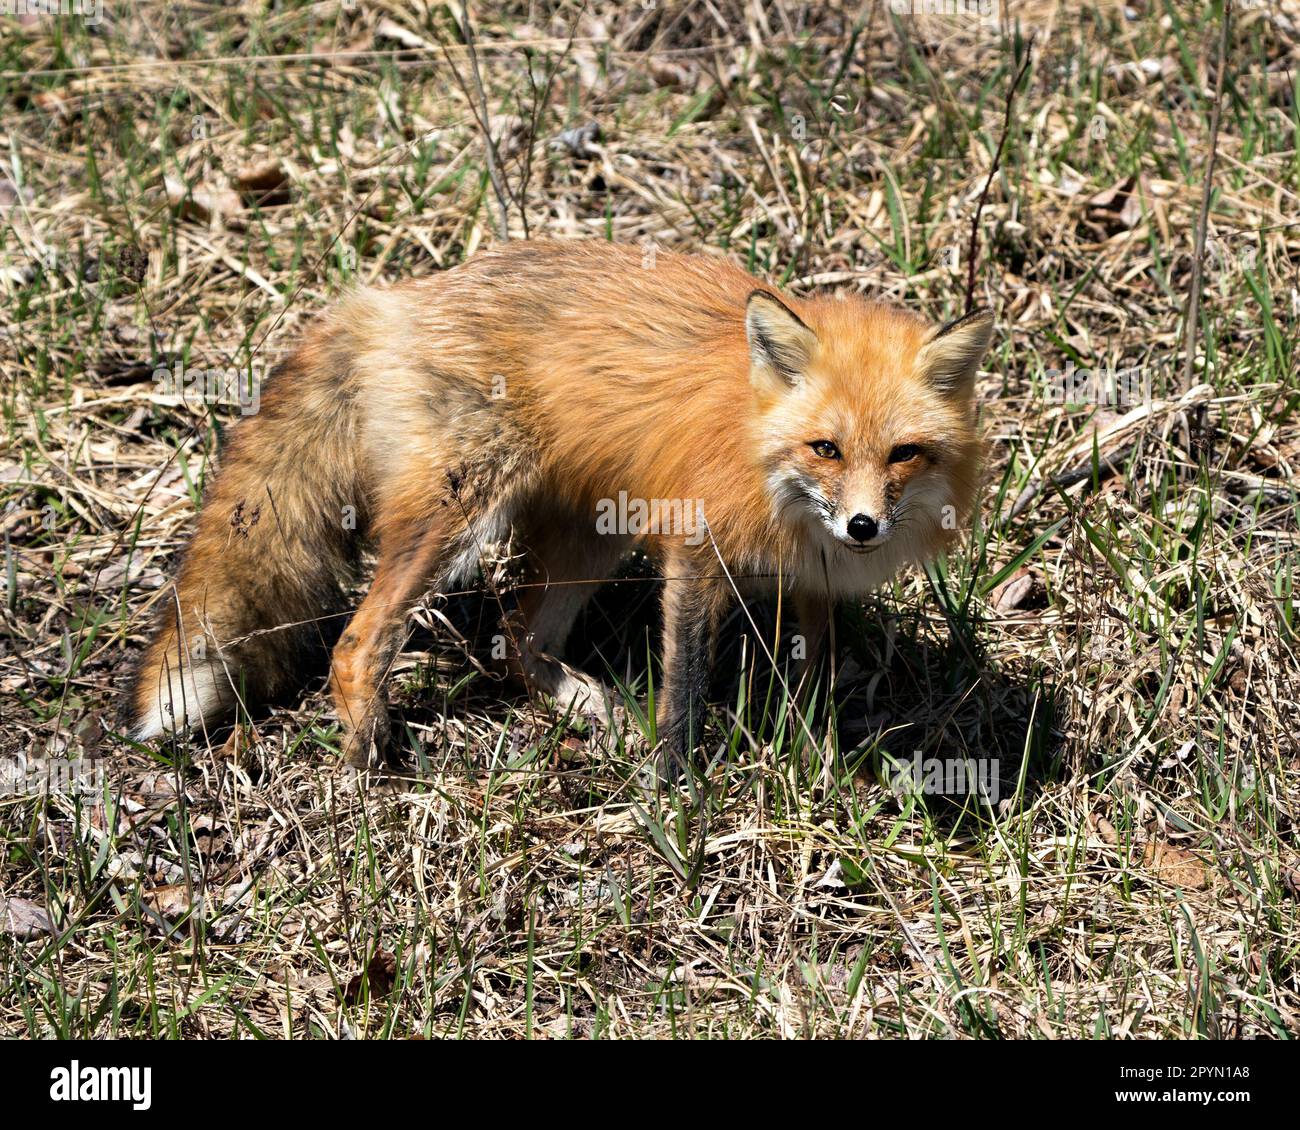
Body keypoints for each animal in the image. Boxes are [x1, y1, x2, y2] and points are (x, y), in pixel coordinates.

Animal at [124, 239, 993, 770]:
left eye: (903, 454)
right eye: (827, 449)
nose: (862, 526)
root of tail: (388, 300)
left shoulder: (814, 578)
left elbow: (818, 669)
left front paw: (815, 751)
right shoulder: (695, 552)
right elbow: (684, 690)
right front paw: (674, 786)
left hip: (589, 538)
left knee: (516, 642)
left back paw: (582, 703)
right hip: (456, 517)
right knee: (358, 641)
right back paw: (368, 751)